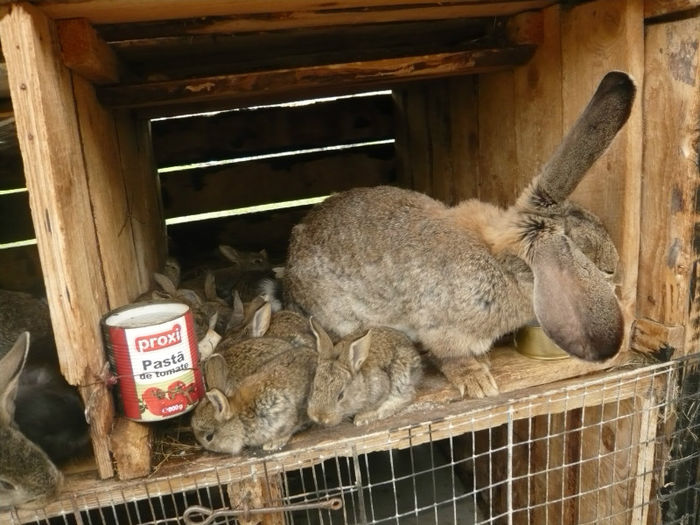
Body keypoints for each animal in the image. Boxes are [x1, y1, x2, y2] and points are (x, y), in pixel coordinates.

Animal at [284, 70, 636, 398]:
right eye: (583, 253)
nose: (615, 270)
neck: (500, 263)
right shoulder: (443, 330)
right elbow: (451, 357)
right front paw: (478, 381)